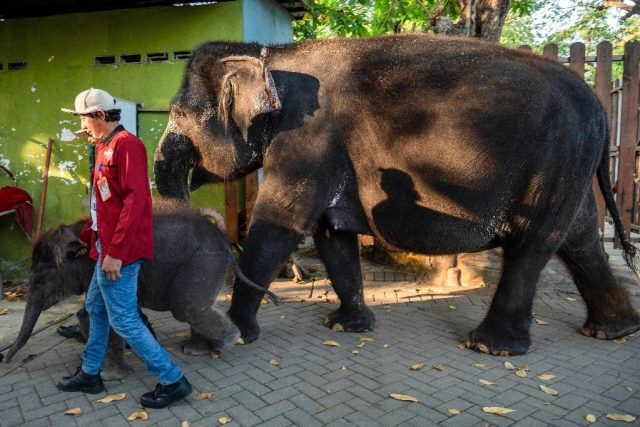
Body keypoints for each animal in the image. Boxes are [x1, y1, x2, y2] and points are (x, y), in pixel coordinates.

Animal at [3, 199, 278, 380]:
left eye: (40, 281)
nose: (4, 359)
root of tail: (222, 237)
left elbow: (106, 314)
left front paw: (110, 376)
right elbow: (95, 313)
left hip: (203, 261)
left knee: (187, 307)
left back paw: (228, 341)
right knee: (197, 305)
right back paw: (198, 350)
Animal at [154, 33, 640, 356]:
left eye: (180, 114)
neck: (270, 55)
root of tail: (601, 106)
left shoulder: (307, 138)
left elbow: (281, 224)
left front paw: (211, 345)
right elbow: (331, 233)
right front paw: (346, 327)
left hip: (555, 158)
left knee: (533, 244)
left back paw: (491, 347)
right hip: (569, 163)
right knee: (579, 238)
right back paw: (614, 331)